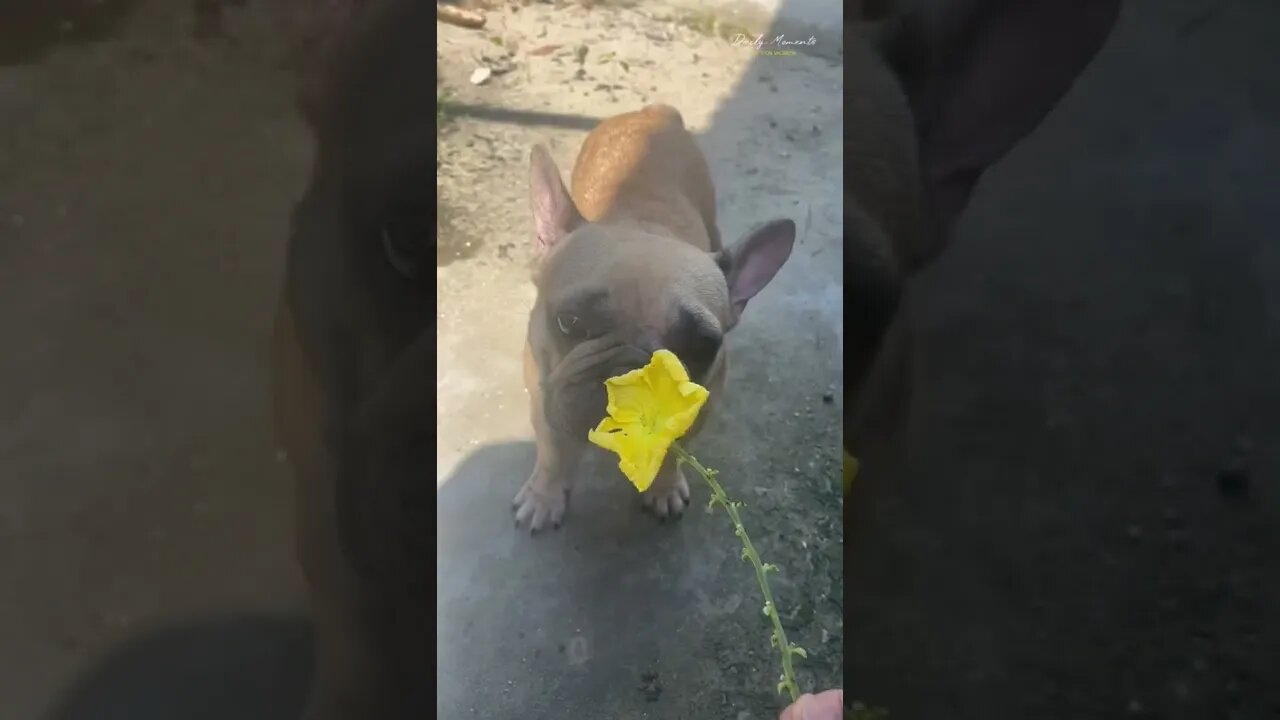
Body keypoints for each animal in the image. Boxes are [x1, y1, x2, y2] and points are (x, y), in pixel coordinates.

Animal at [512, 106, 793, 532]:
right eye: (569, 322)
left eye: (703, 345)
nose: (632, 371)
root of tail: (653, 112)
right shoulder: (543, 396)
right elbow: (552, 452)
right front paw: (545, 496)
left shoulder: (700, 413)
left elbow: (672, 454)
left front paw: (663, 488)